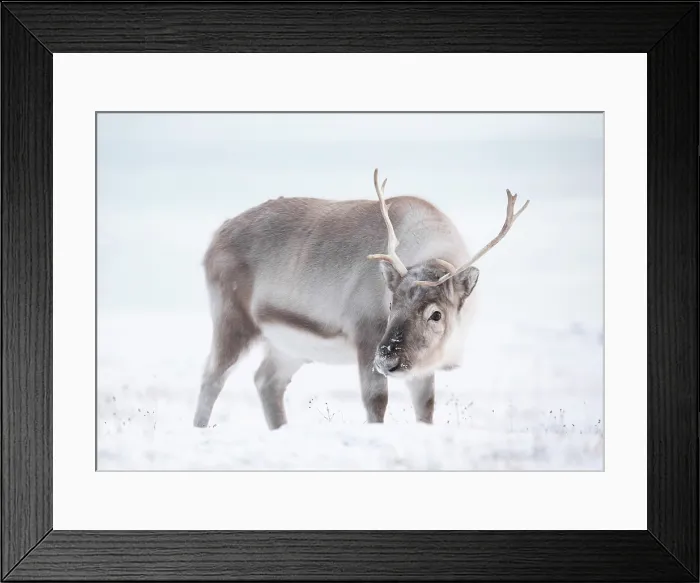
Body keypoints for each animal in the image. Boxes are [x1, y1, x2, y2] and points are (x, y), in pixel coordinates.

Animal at [193, 169, 529, 430]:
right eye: (391, 303)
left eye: (436, 313)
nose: (388, 359)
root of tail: (214, 237)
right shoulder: (366, 334)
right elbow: (376, 402)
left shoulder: (420, 363)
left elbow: (426, 408)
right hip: (232, 317)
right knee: (212, 377)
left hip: (289, 345)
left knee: (267, 381)